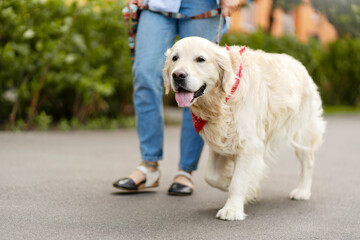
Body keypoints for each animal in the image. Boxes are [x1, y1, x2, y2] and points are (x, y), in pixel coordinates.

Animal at [163, 36, 326, 220]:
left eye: (200, 59)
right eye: (175, 58)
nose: (178, 75)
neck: (223, 100)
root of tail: (299, 64)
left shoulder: (248, 144)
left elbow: (238, 181)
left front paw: (232, 208)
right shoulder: (221, 142)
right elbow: (211, 176)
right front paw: (233, 185)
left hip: (302, 131)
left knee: (308, 161)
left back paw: (302, 190)